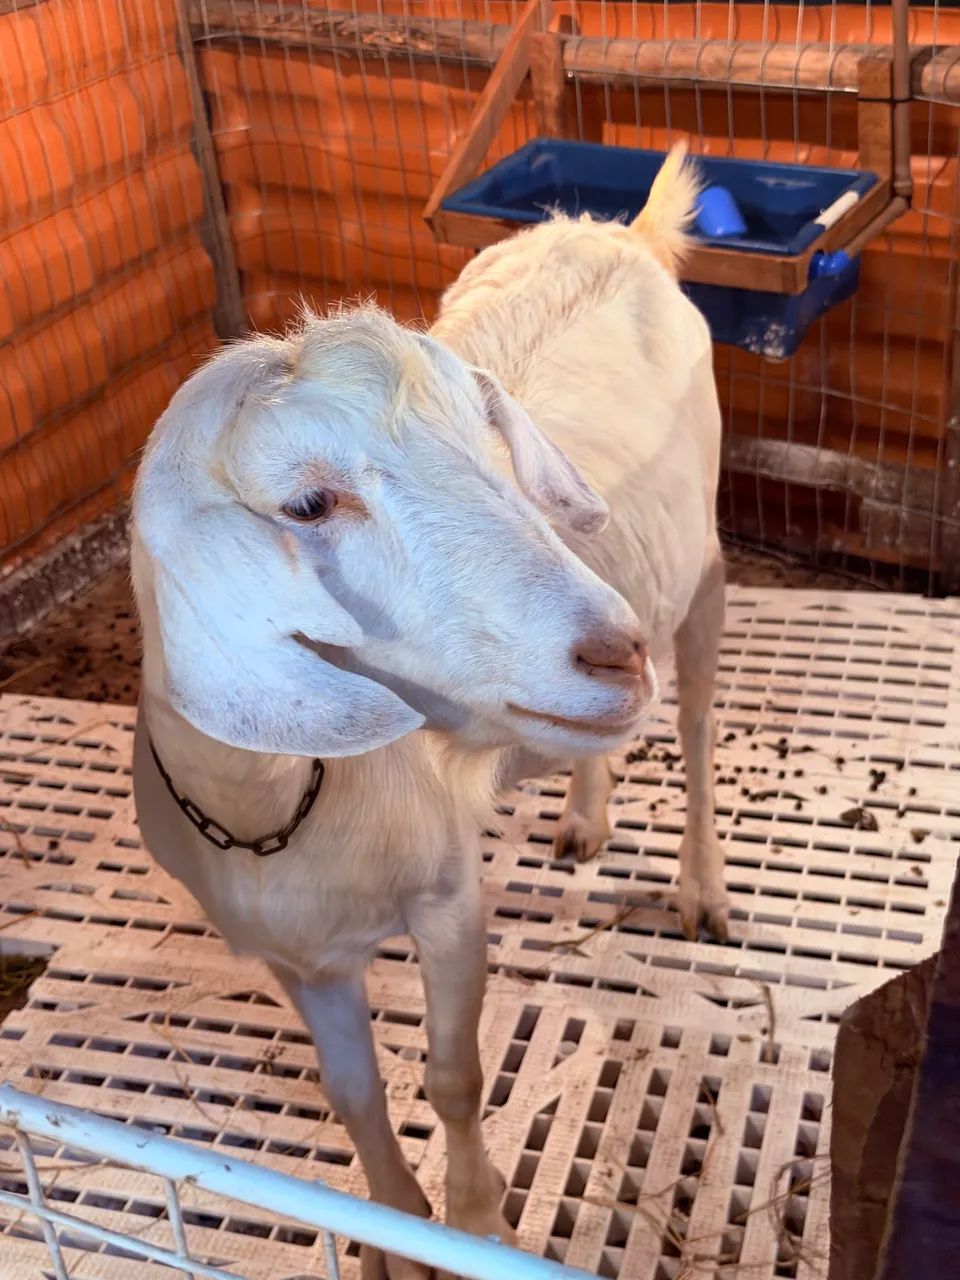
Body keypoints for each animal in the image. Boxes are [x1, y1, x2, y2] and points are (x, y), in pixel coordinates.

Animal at [131, 144, 724, 1279]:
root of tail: (616, 231)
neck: (280, 802)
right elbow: (354, 1092)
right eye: (307, 503)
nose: (614, 652)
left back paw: (703, 887)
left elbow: (452, 1075)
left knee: (701, 726)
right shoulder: (301, 957)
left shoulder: (447, 898)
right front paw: (392, 1235)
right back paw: (586, 812)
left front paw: (478, 1220)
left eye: (496, 454)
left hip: (704, 561)